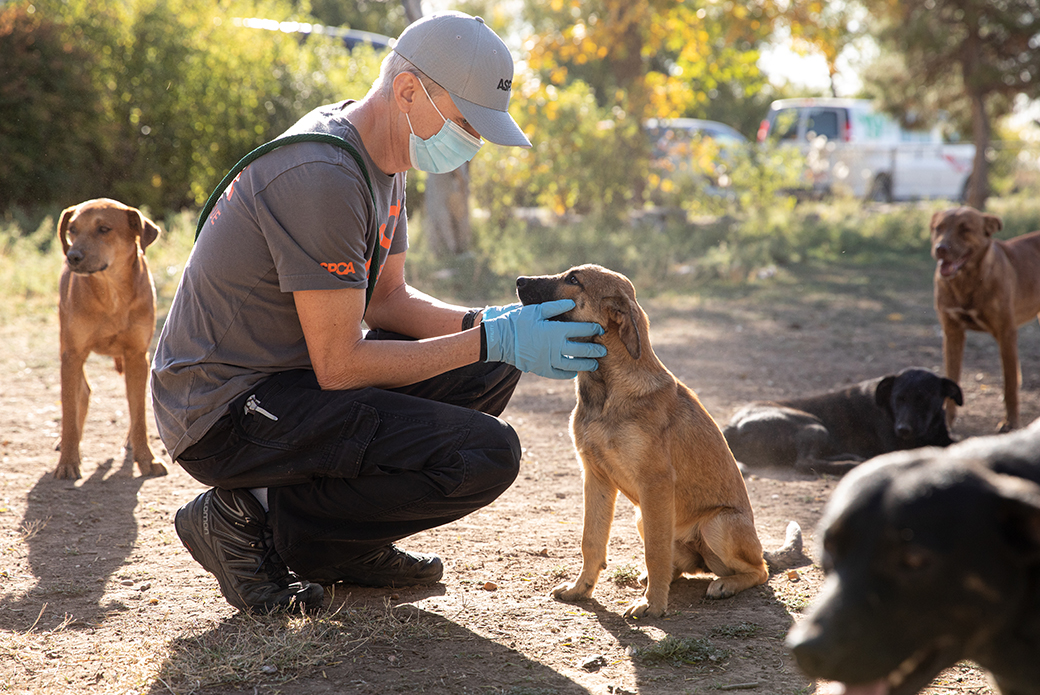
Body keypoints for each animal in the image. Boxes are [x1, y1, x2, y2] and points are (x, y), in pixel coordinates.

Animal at [57, 195, 168, 478]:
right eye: (72, 229)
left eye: (104, 229)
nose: (72, 256)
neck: (112, 293)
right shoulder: (72, 355)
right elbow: (69, 412)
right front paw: (68, 461)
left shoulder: (137, 355)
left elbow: (139, 413)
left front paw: (146, 458)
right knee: (82, 392)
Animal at [511, 266, 794, 620]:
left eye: (574, 280)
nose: (519, 280)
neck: (608, 388)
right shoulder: (596, 478)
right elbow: (592, 541)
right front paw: (581, 589)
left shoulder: (655, 482)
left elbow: (655, 552)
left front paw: (654, 605)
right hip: (642, 517)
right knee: (680, 566)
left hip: (716, 523)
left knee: (759, 571)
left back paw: (724, 585)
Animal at [723, 366, 956, 474]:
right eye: (899, 399)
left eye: (924, 400)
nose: (903, 429)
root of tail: (732, 426)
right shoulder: (898, 448)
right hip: (813, 425)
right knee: (805, 462)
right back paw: (850, 464)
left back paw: (851, 458)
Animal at [931, 206, 1040, 430]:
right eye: (938, 228)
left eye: (965, 229)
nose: (940, 248)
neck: (967, 282)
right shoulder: (952, 333)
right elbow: (952, 377)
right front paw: (948, 421)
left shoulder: (1006, 334)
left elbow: (1010, 385)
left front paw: (1011, 423)